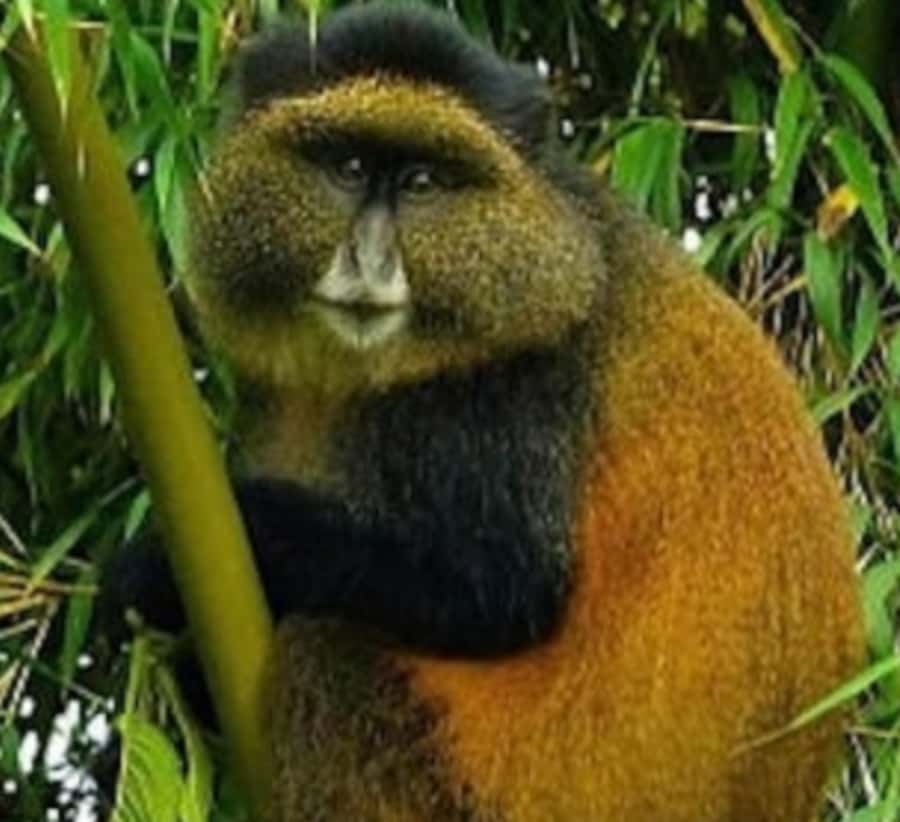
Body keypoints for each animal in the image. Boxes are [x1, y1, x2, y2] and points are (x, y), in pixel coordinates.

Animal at [115, 4, 864, 820]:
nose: (369, 261)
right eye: (349, 168)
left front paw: (168, 563)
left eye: (422, 182)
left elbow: (499, 589)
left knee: (328, 653)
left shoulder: (510, 388)